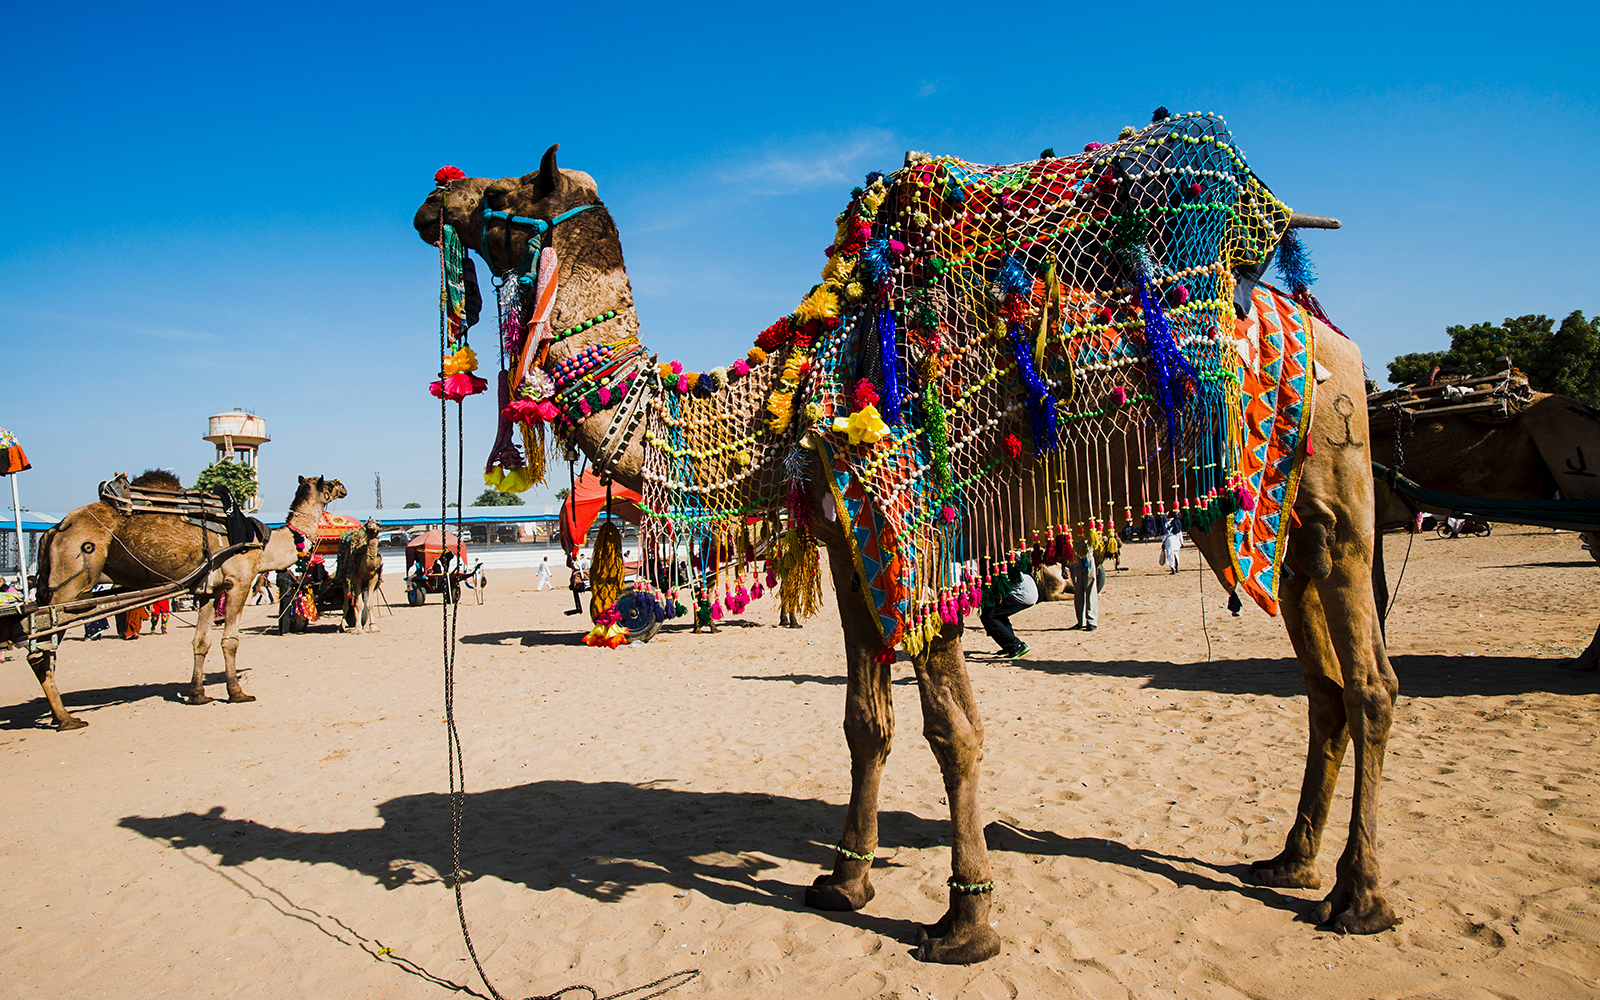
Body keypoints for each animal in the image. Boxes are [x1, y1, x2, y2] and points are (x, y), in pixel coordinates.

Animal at [29, 470, 347, 729]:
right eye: (329, 484)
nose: (343, 487)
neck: (266, 544)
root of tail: (54, 530)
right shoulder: (239, 581)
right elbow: (230, 640)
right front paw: (237, 693)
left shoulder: (208, 590)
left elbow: (200, 642)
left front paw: (197, 694)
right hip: (69, 586)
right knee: (42, 651)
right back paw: (65, 718)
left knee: (42, 649)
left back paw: (58, 715)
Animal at [416, 112, 1401, 966]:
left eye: (504, 189)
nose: (433, 199)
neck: (786, 400)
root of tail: (1327, 333)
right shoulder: (852, 548)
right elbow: (866, 721)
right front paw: (842, 882)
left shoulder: (915, 529)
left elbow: (952, 729)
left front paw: (965, 922)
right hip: (1268, 519)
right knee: (1323, 686)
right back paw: (1289, 862)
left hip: (1340, 493)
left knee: (1373, 685)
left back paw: (1358, 897)